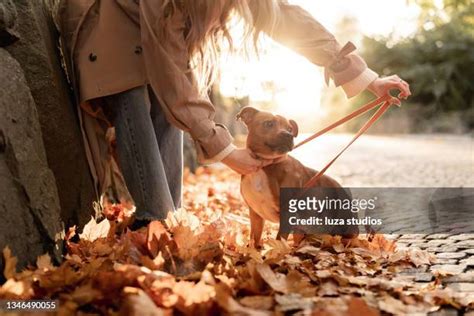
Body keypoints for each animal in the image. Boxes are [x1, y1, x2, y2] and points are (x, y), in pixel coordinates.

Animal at [239, 107, 358, 246]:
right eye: (268, 123)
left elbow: (279, 241)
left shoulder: (287, 213)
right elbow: (254, 239)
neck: (265, 164)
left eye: (290, 128)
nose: (288, 135)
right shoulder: (255, 215)